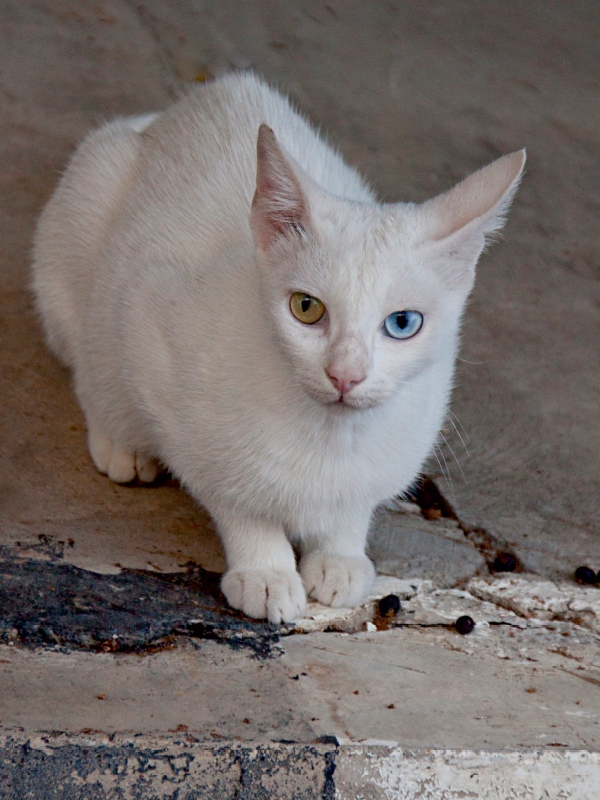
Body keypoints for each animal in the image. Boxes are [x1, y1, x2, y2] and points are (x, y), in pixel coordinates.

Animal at [31, 73, 524, 624]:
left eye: (403, 323)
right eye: (306, 307)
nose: (345, 373)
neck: (330, 438)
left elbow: (353, 506)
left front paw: (339, 555)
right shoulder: (148, 323)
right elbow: (231, 493)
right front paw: (265, 569)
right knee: (87, 353)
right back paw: (121, 441)